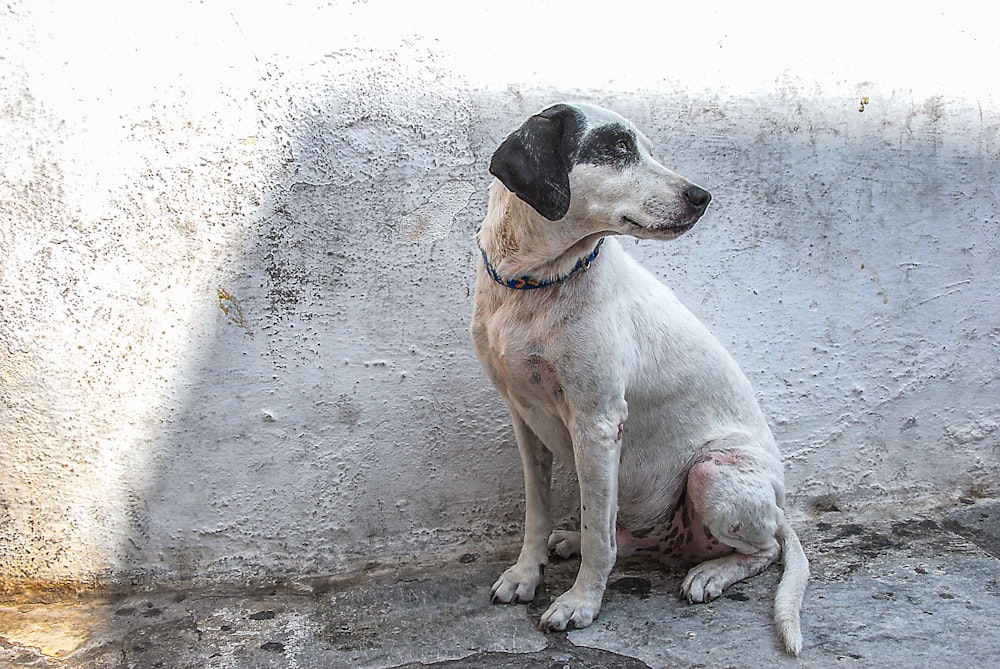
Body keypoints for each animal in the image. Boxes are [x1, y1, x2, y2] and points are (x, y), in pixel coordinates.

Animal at [472, 103, 808, 652]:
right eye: (618, 147)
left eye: (646, 148)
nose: (702, 196)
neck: (535, 284)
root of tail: (781, 509)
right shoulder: (524, 419)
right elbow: (538, 512)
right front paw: (526, 574)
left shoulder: (598, 424)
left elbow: (598, 541)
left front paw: (580, 604)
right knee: (616, 533)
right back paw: (576, 541)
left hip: (713, 471)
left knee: (763, 552)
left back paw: (710, 574)